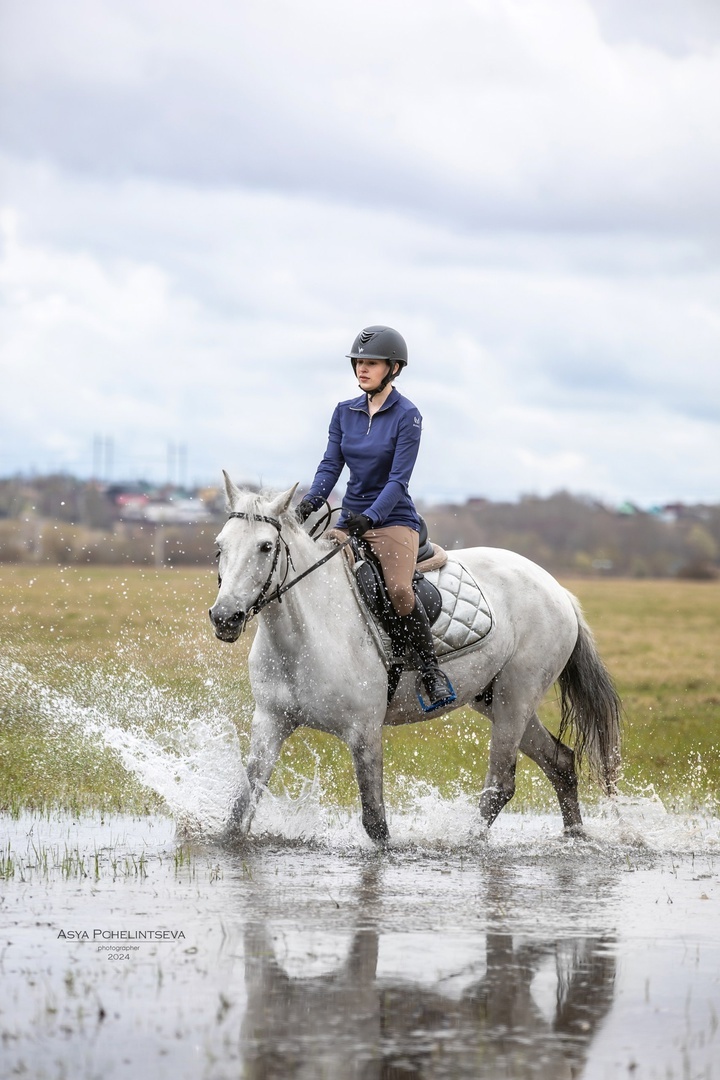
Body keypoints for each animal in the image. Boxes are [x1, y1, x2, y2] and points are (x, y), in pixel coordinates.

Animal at [208, 473, 621, 842]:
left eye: (265, 547)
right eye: (220, 546)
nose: (225, 617)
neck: (303, 636)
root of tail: (556, 588)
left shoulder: (364, 732)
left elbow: (375, 822)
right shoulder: (271, 722)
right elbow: (241, 809)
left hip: (514, 699)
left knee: (501, 784)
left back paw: (469, 843)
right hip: (494, 699)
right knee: (560, 762)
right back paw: (575, 837)